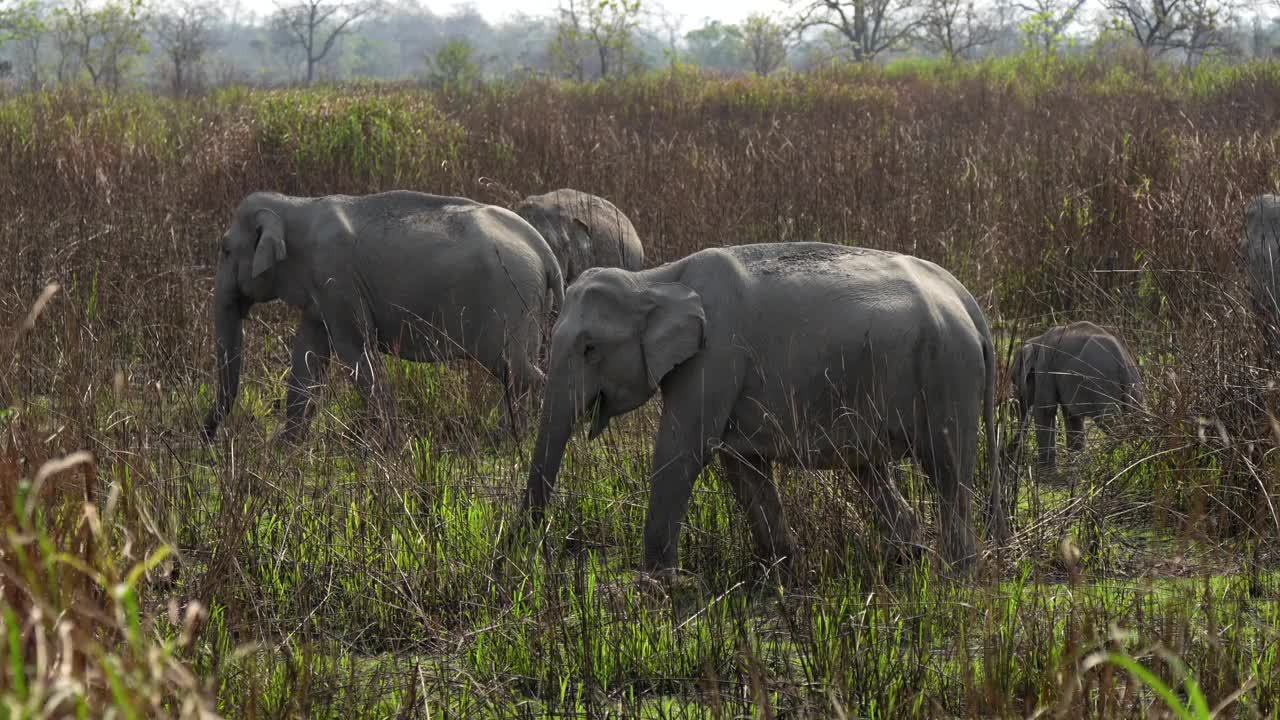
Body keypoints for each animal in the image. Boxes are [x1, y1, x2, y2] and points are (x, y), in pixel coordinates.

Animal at [199, 185, 560, 443]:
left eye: (225, 250)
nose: (208, 436)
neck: (297, 204)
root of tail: (542, 248)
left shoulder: (337, 279)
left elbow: (356, 351)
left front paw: (386, 447)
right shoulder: (322, 293)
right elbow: (308, 356)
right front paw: (285, 449)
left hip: (511, 301)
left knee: (517, 370)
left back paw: (515, 439)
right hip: (530, 306)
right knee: (518, 370)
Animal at [514, 243, 1003, 573]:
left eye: (590, 349)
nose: (528, 552)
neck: (657, 277)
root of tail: (968, 303)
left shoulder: (717, 355)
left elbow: (682, 452)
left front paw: (654, 583)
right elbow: (741, 465)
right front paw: (783, 572)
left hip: (948, 374)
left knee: (948, 473)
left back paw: (955, 576)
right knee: (871, 470)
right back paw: (907, 559)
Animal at [1013, 319, 1146, 471]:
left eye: (1014, 381)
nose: (1018, 459)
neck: (1037, 340)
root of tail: (1122, 360)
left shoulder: (1045, 366)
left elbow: (1046, 410)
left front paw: (1046, 471)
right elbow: (1071, 417)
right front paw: (1074, 466)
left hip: (1102, 384)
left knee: (1110, 422)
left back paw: (1109, 459)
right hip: (1135, 388)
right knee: (1138, 419)